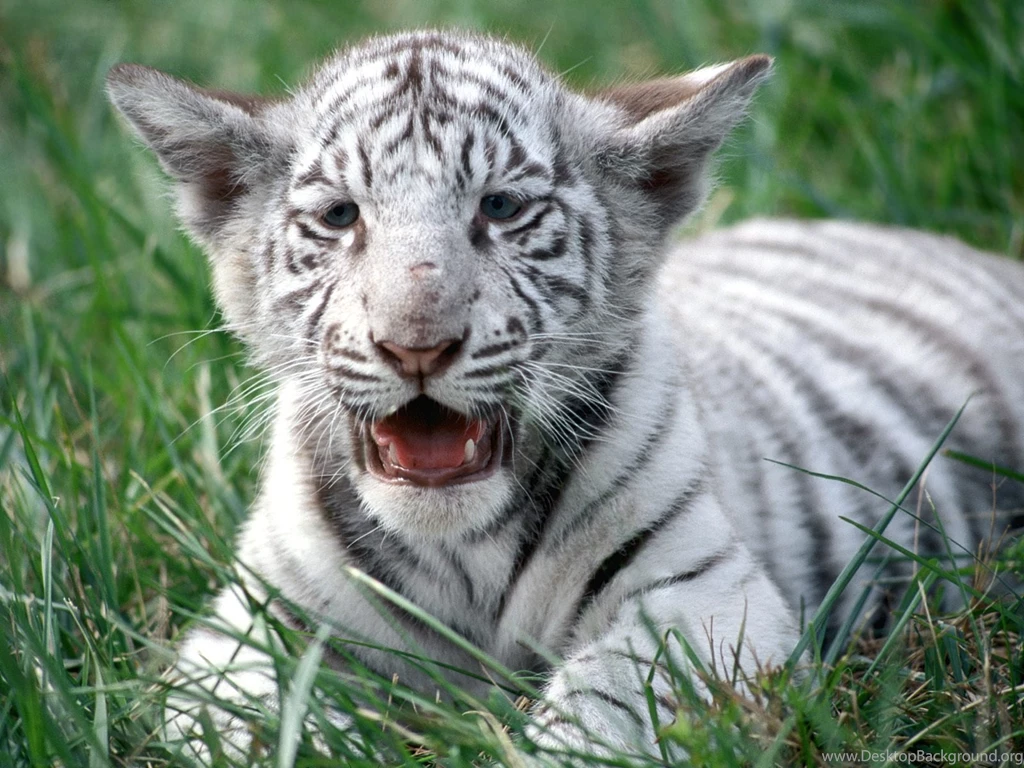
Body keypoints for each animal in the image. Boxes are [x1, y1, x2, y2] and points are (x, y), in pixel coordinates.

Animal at [105, 29, 1024, 764]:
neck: (460, 551)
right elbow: (240, 726)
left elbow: (609, 697)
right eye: (340, 217)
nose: (416, 344)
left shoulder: (708, 595)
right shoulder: (251, 629)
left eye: (501, 208)